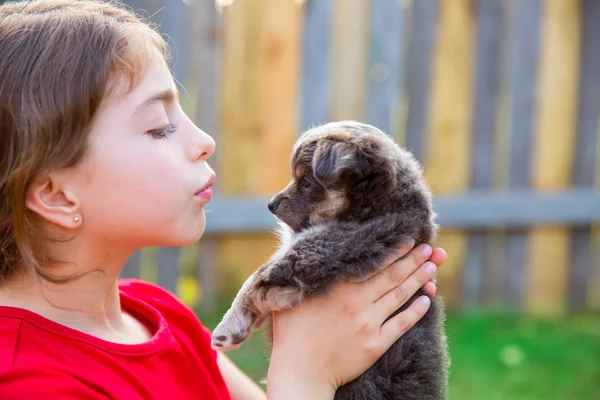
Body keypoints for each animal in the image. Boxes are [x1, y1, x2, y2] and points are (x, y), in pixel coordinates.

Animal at [209, 120, 448, 398]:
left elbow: (253, 282)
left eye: (306, 183)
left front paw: (227, 328)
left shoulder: (308, 257)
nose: (271, 204)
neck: (373, 210)